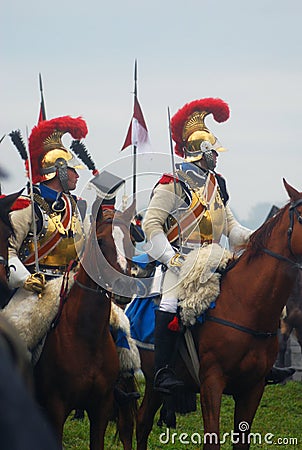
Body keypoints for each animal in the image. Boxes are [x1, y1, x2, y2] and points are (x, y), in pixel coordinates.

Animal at [34, 201, 137, 450]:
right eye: (100, 241)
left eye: (132, 241)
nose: (123, 286)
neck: (85, 336)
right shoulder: (55, 409)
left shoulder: (101, 408)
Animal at [136, 180, 302, 450]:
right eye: (301, 216)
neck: (245, 305)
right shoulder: (211, 382)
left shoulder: (253, 388)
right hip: (153, 379)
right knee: (141, 422)